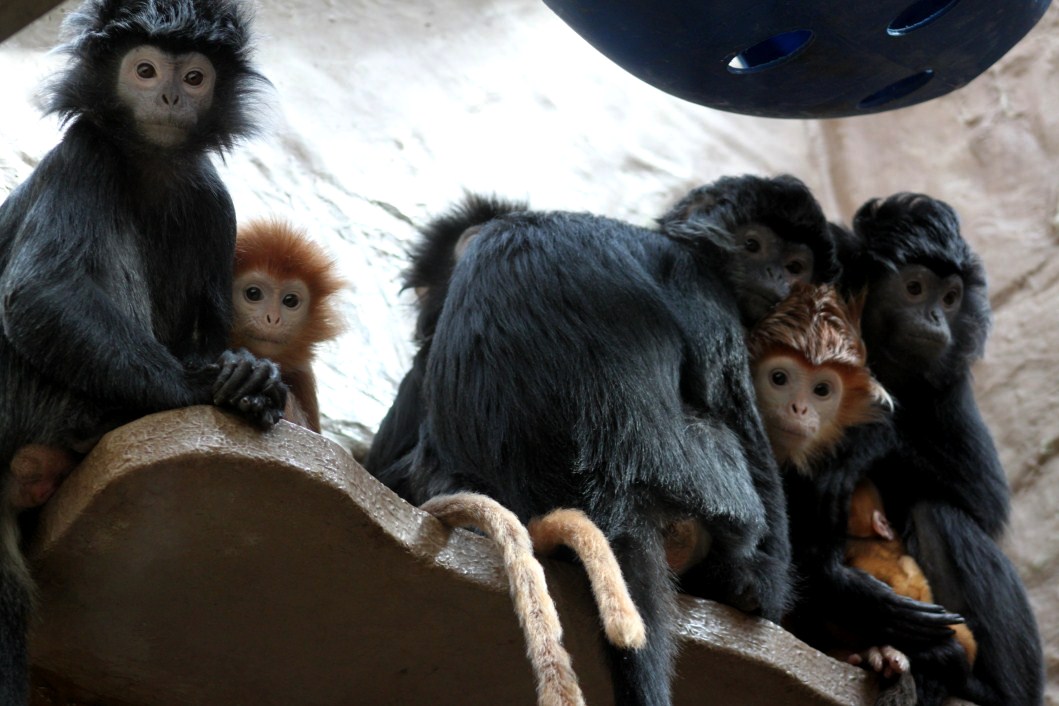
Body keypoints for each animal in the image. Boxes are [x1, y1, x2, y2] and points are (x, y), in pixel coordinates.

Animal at [0, 1, 286, 699]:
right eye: (146, 69)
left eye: (194, 78)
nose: (167, 96)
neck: (149, 167)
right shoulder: (85, 153)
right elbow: (41, 292)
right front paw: (209, 385)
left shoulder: (212, 198)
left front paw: (246, 369)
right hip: (22, 392)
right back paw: (98, 424)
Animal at [370, 174, 838, 705]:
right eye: (754, 246)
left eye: (795, 267)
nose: (778, 278)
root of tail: (614, 490)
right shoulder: (699, 285)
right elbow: (732, 408)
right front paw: (766, 590)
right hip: (718, 491)